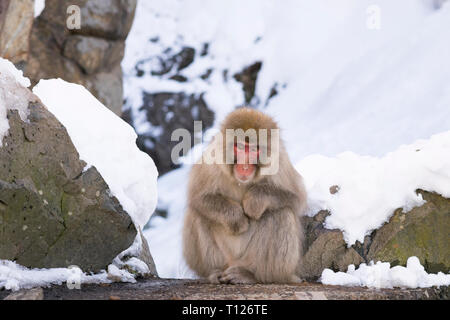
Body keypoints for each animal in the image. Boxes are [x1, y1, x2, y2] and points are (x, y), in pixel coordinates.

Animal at [182, 108, 306, 284]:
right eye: (240, 147)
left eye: (254, 150)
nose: (245, 167)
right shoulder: (212, 159)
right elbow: (198, 196)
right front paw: (236, 218)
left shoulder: (280, 162)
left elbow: (297, 197)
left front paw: (254, 201)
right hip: (225, 257)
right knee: (196, 213)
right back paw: (214, 272)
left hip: (250, 259)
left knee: (282, 214)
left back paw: (252, 275)